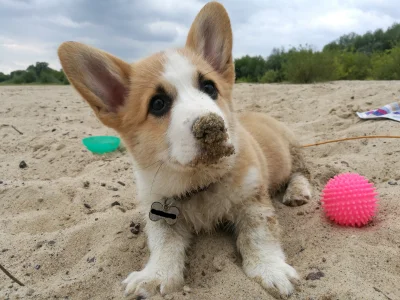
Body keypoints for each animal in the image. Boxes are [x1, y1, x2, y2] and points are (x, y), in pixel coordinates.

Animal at [57, 1, 310, 298]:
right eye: (157, 104)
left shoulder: (253, 200)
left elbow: (258, 235)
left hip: (293, 149)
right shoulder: (158, 211)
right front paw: (155, 275)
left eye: (209, 87)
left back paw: (298, 192)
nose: (212, 126)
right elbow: (163, 244)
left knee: (302, 172)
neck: (197, 183)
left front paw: (271, 270)